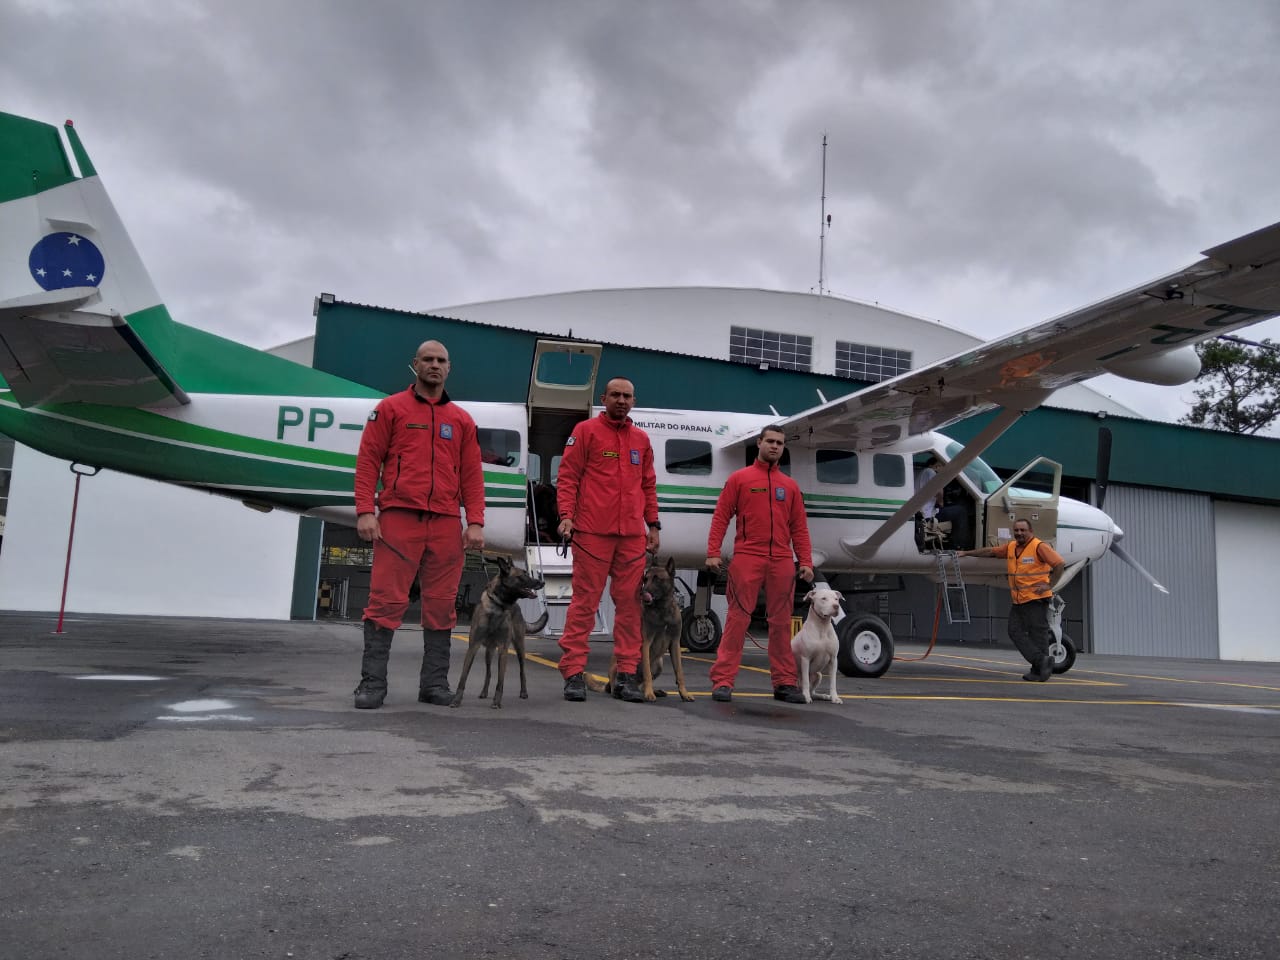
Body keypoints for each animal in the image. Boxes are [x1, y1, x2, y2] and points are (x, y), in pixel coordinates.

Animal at [450, 560, 550, 711]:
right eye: (523, 575)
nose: (542, 582)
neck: (497, 606)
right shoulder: (473, 647)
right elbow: (464, 676)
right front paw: (456, 700)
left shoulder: (503, 649)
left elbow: (500, 680)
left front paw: (497, 702)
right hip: (489, 652)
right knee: (488, 672)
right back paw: (484, 692)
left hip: (519, 648)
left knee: (522, 671)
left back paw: (523, 692)